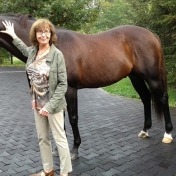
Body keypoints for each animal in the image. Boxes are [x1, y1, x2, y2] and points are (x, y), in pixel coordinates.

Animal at [0, 13, 173, 160]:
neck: (55, 45)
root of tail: (151, 35)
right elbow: (60, 118)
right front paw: (58, 149)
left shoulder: (70, 89)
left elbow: (73, 118)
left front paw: (74, 150)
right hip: (135, 77)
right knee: (145, 97)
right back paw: (145, 131)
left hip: (153, 77)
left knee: (162, 98)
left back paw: (168, 134)